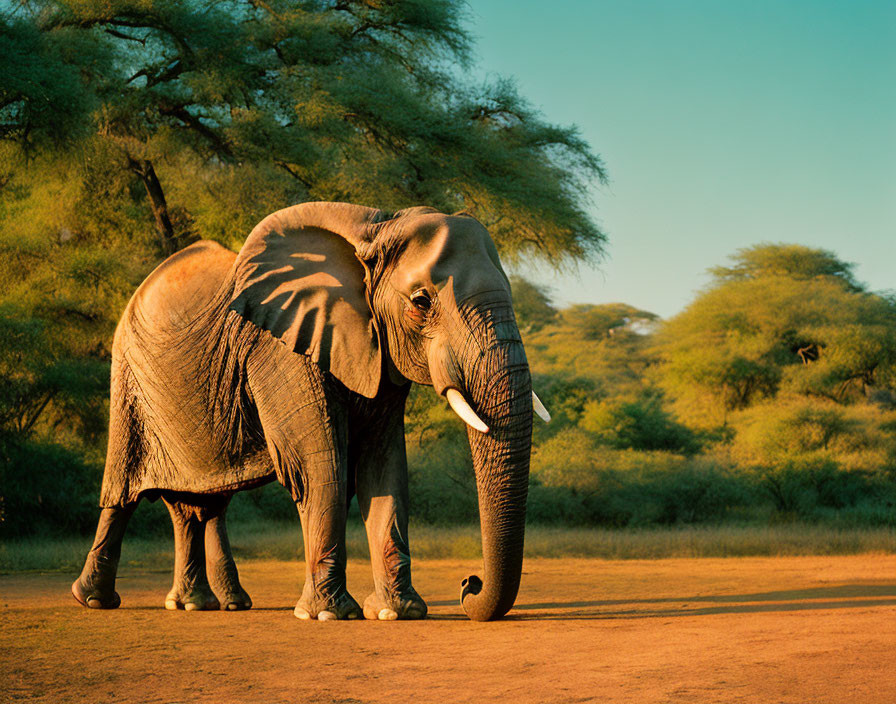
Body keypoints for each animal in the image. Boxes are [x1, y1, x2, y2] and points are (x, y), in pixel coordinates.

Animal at [72, 202, 544, 620]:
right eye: (421, 301)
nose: (469, 583)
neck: (377, 228)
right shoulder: (281, 347)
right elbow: (320, 465)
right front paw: (329, 615)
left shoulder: (377, 350)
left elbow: (383, 465)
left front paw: (397, 612)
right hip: (129, 379)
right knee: (123, 492)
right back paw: (94, 599)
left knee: (202, 505)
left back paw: (208, 604)